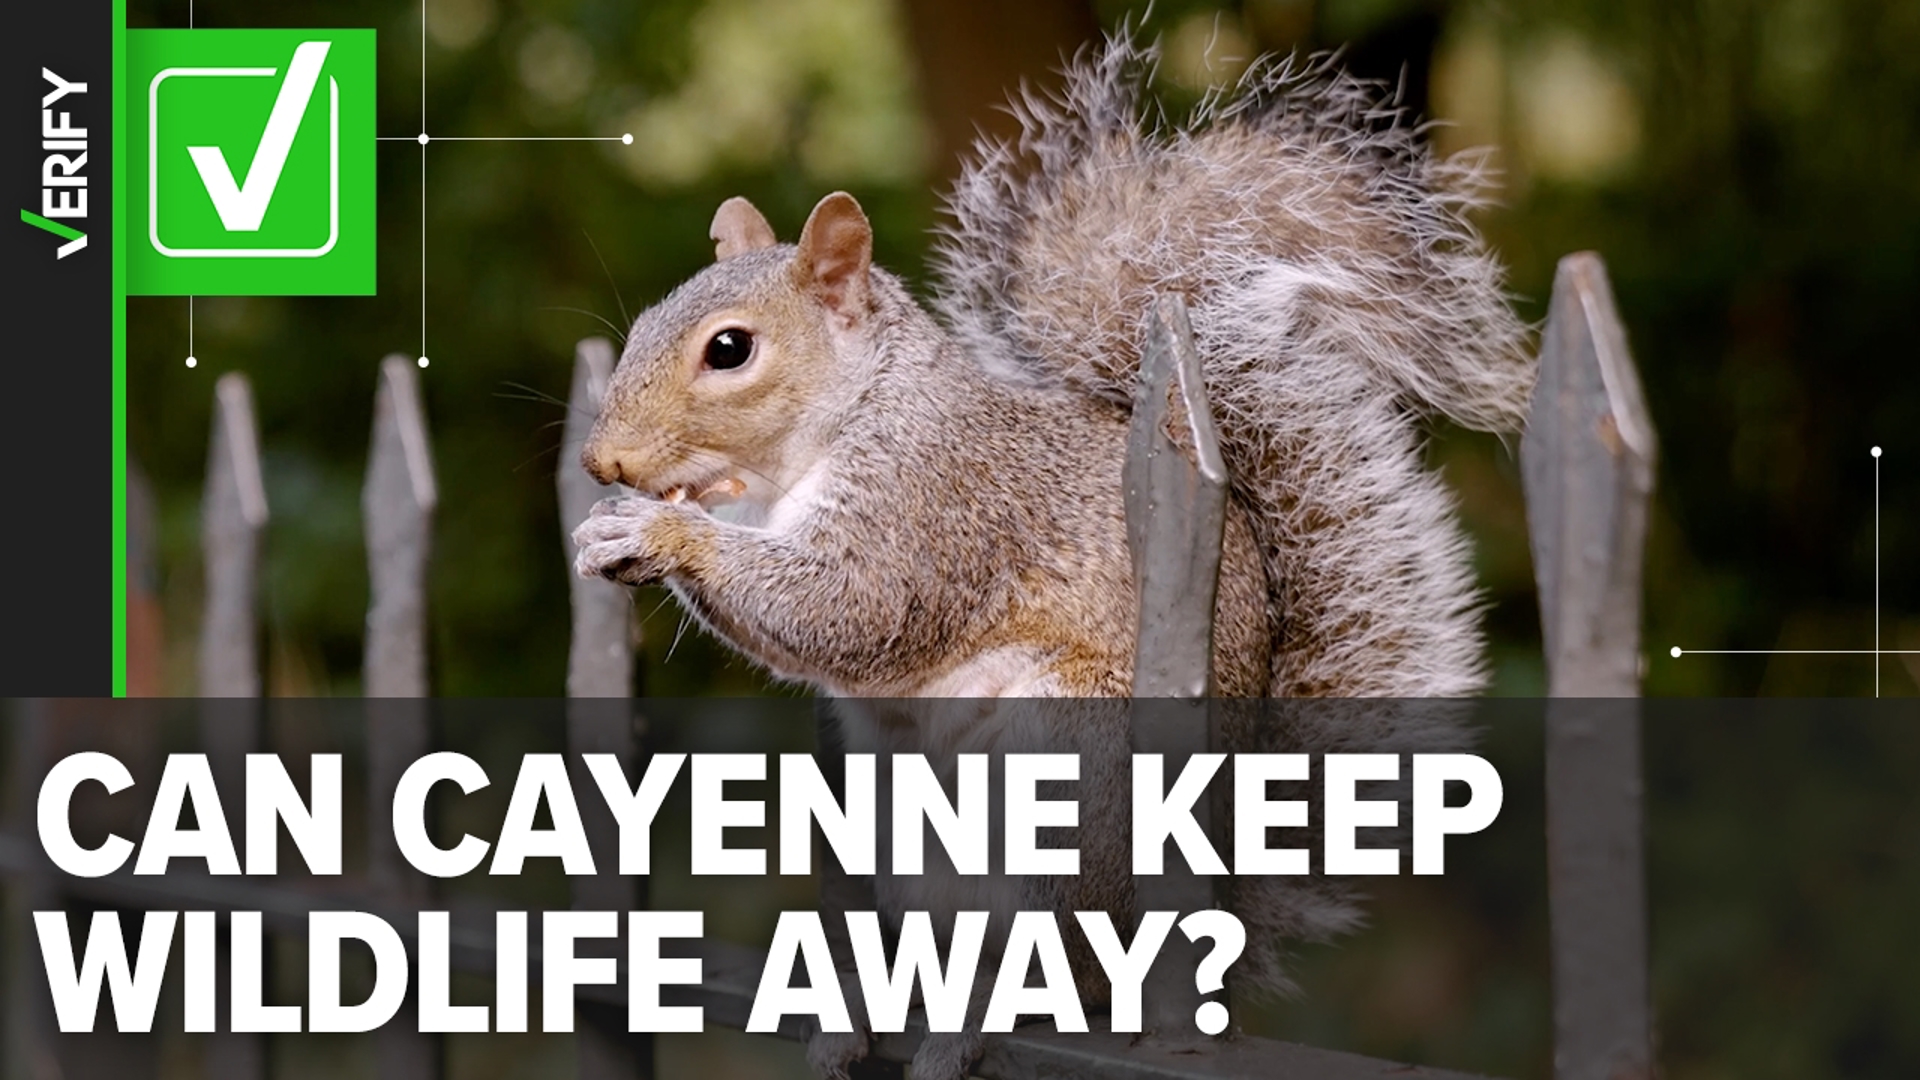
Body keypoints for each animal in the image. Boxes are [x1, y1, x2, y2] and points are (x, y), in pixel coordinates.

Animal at [573, 31, 1533, 1080]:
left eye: (730, 350)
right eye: (644, 323)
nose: (602, 460)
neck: (834, 430)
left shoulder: (936, 503)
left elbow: (851, 608)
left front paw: (657, 533)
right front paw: (617, 523)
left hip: (1072, 780)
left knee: (1059, 968)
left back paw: (971, 1021)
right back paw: (867, 1003)